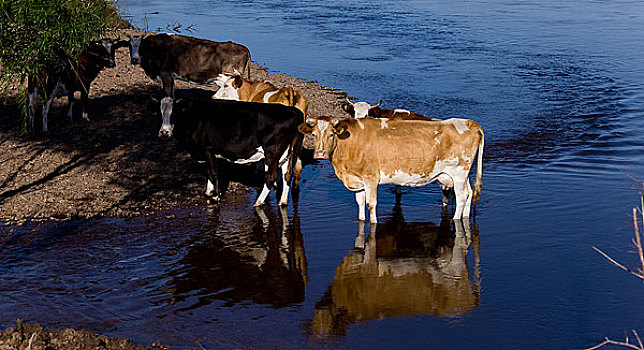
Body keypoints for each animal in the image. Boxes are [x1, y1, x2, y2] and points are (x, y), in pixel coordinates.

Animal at [121, 33, 252, 99]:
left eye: (142, 46)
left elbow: (167, 92)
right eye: (129, 46)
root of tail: (244, 48)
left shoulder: (165, 73)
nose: (134, 59)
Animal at [160, 96, 304, 208]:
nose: (164, 132)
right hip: (287, 153)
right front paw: (208, 192)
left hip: (272, 152)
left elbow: (213, 172)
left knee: (271, 177)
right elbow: (209, 171)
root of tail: (293, 111)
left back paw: (258, 202)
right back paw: (282, 202)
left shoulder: (208, 149)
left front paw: (215, 197)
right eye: (161, 113)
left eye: (174, 114)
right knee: (287, 175)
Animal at [296, 117, 484, 221]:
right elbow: (360, 203)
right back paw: (465, 216)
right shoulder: (357, 179)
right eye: (313, 134)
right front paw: (361, 220)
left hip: (459, 172)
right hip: (462, 174)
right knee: (469, 193)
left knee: (461, 196)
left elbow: (371, 204)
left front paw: (373, 224)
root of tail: (470, 123)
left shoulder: (370, 177)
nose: (320, 153)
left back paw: (456, 219)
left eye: (332, 134)